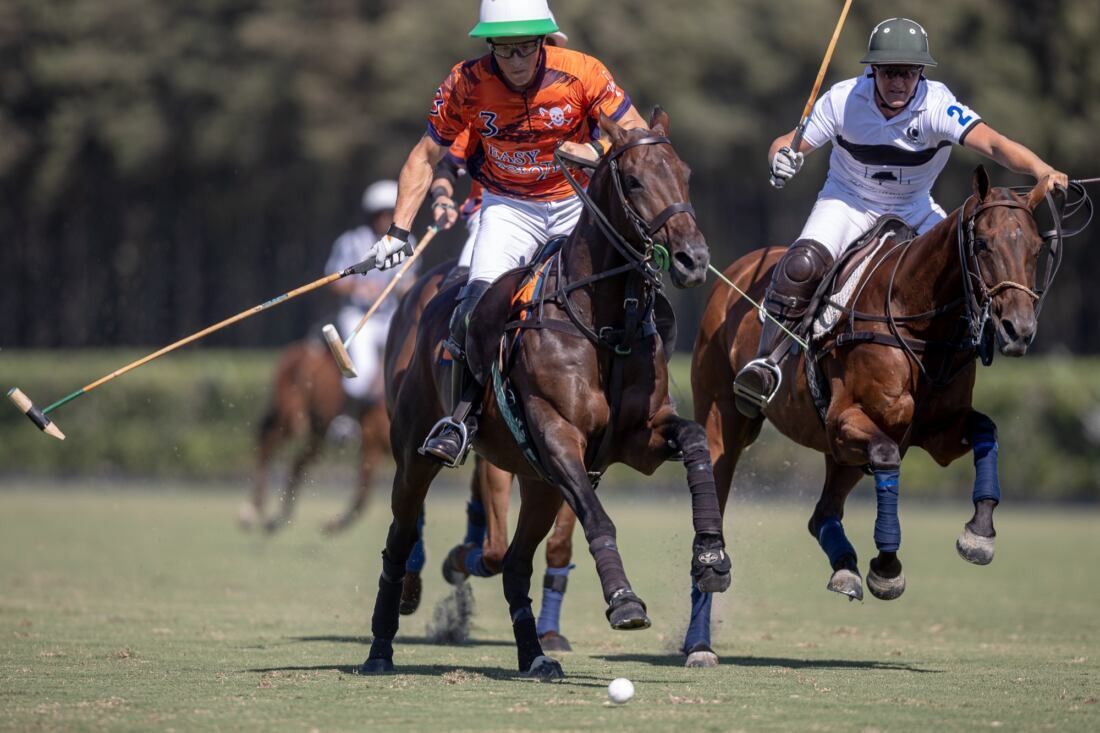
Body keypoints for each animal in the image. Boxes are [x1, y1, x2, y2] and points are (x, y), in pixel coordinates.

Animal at [365, 110, 734, 677]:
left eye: (685, 174)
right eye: (633, 180)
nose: (693, 260)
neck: (603, 322)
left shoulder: (641, 436)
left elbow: (694, 441)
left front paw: (711, 555)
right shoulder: (559, 436)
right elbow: (597, 518)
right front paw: (624, 599)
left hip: (538, 483)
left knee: (517, 563)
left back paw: (535, 655)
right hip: (415, 456)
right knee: (399, 543)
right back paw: (381, 647)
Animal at [682, 168, 1069, 664]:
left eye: (1037, 248)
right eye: (983, 244)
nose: (1018, 330)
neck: (917, 319)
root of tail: (737, 269)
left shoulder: (936, 432)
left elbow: (987, 428)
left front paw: (978, 534)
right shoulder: (847, 421)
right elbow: (888, 456)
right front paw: (887, 567)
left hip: (839, 454)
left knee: (822, 513)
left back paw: (844, 567)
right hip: (725, 423)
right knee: (712, 518)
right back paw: (698, 643)